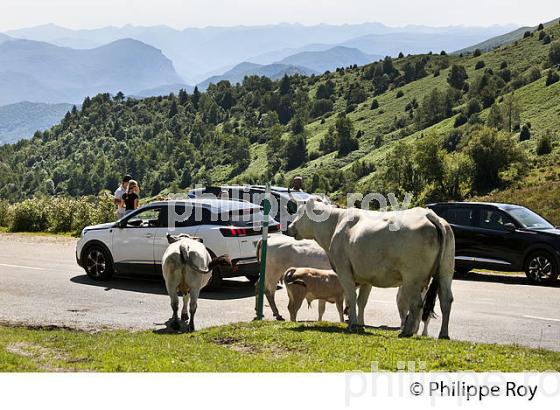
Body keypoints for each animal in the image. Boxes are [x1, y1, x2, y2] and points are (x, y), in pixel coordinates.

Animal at [288, 199, 456, 340]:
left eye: (300, 212)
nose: (288, 228)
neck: (335, 224)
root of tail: (429, 214)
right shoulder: (366, 277)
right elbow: (362, 302)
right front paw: (360, 325)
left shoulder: (344, 270)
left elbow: (351, 298)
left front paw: (352, 325)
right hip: (446, 272)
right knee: (446, 300)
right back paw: (444, 334)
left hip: (412, 277)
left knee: (416, 303)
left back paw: (406, 332)